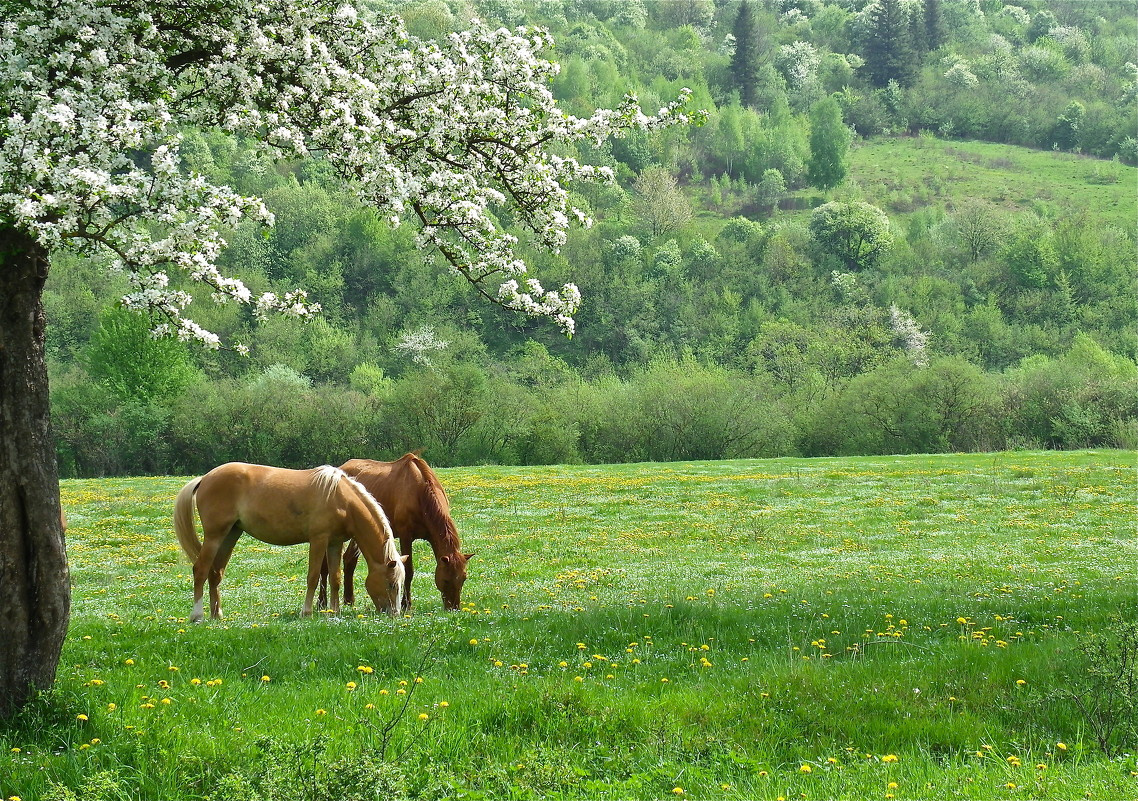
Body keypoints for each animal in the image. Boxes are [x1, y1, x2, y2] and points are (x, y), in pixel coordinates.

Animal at [173, 463, 408, 622]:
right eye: (391, 584)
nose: (395, 614)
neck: (341, 498)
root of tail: (205, 478)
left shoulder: (335, 543)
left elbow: (335, 578)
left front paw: (334, 611)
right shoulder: (319, 539)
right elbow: (313, 576)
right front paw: (307, 612)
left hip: (230, 535)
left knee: (216, 573)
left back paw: (217, 614)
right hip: (214, 536)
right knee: (200, 570)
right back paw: (197, 615)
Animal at [318, 454, 473, 611]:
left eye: (464, 578)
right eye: (446, 580)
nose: (454, 607)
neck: (420, 493)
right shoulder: (406, 536)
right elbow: (408, 571)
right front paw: (406, 604)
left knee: (349, 559)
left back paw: (349, 600)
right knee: (324, 566)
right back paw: (321, 602)